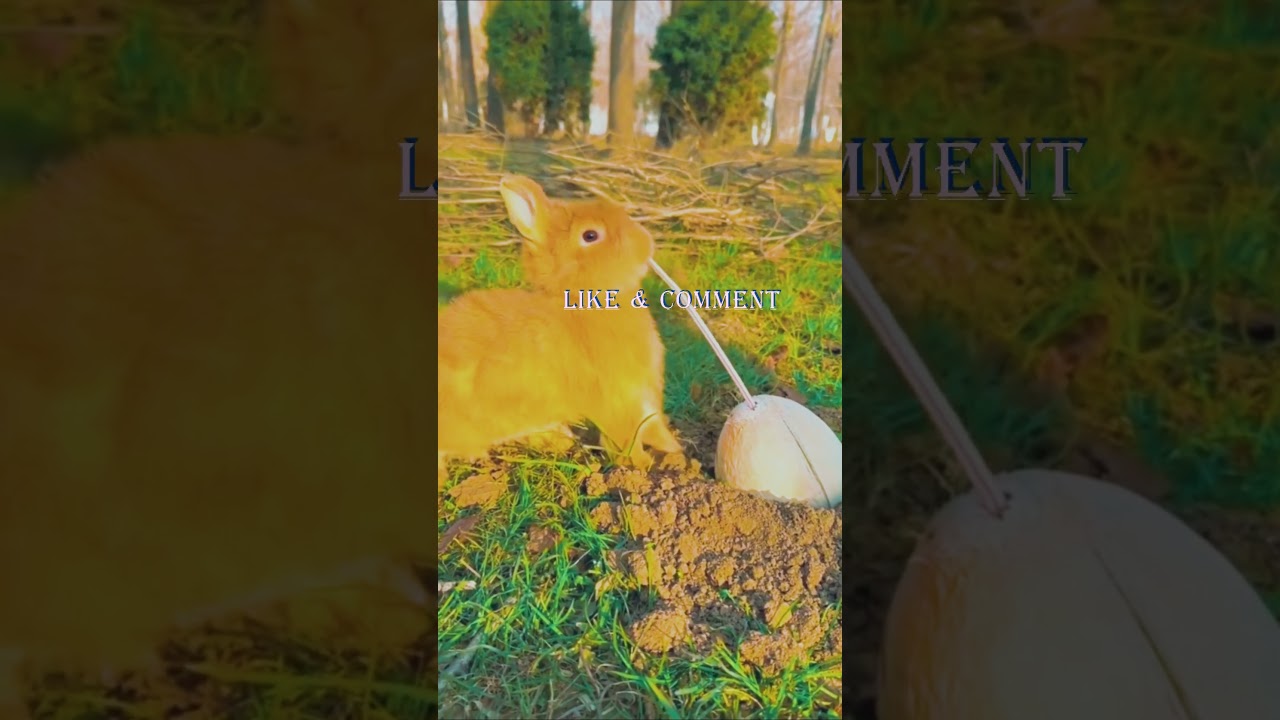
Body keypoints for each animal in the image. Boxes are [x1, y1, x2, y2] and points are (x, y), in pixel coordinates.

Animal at [438, 176, 682, 487]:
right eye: (590, 235)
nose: (645, 243)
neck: (581, 302)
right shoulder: (616, 400)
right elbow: (627, 438)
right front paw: (642, 469)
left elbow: (652, 423)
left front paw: (673, 450)